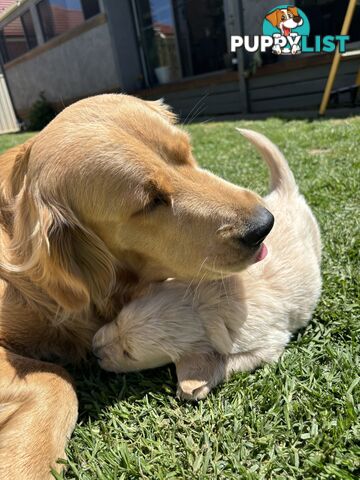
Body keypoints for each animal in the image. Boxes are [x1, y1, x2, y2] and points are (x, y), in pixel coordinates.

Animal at [93, 129, 320, 400]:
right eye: (118, 320)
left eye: (129, 354)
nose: (93, 351)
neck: (206, 303)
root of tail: (283, 192)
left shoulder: (269, 344)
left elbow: (229, 361)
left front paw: (193, 386)